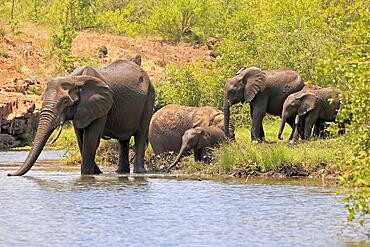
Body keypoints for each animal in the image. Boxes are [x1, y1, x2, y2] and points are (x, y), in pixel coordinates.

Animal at [7, 59, 155, 176]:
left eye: (65, 102)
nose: (9, 174)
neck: (74, 79)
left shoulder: (100, 106)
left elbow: (91, 139)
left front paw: (87, 175)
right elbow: (80, 138)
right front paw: (96, 173)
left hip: (149, 98)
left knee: (140, 134)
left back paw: (139, 173)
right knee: (123, 140)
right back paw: (121, 173)